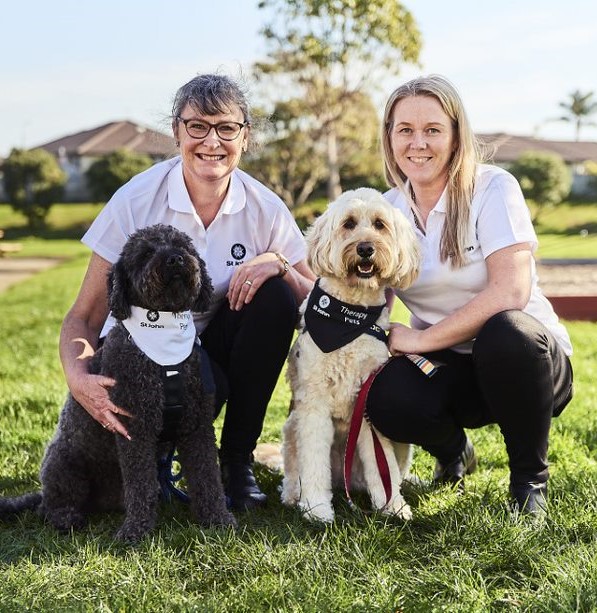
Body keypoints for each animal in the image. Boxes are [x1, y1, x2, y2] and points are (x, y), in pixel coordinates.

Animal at [282, 186, 420, 520]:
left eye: (380, 224)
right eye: (349, 224)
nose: (366, 248)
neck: (349, 316)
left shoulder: (368, 402)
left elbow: (383, 468)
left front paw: (392, 505)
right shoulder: (314, 404)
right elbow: (312, 460)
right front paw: (317, 507)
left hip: (401, 442)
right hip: (291, 427)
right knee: (293, 470)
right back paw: (293, 495)